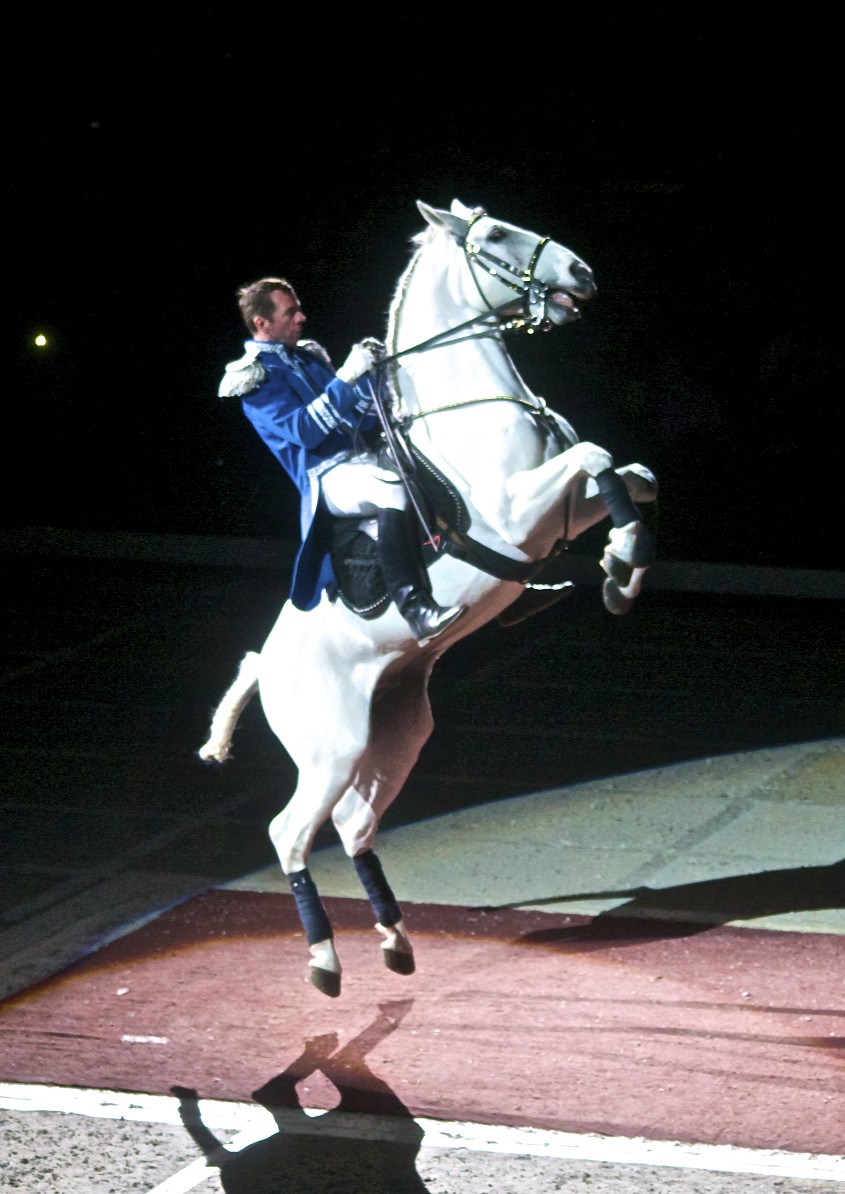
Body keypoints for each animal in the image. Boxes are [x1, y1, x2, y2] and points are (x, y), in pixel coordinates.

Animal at [201, 198, 658, 998]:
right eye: (495, 235)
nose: (582, 273)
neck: (470, 406)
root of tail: (268, 667)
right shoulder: (518, 513)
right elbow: (598, 457)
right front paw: (622, 562)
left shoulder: (557, 511)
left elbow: (632, 476)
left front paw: (618, 568)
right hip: (330, 748)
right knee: (291, 833)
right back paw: (324, 961)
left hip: (396, 733)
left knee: (354, 826)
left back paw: (395, 940)